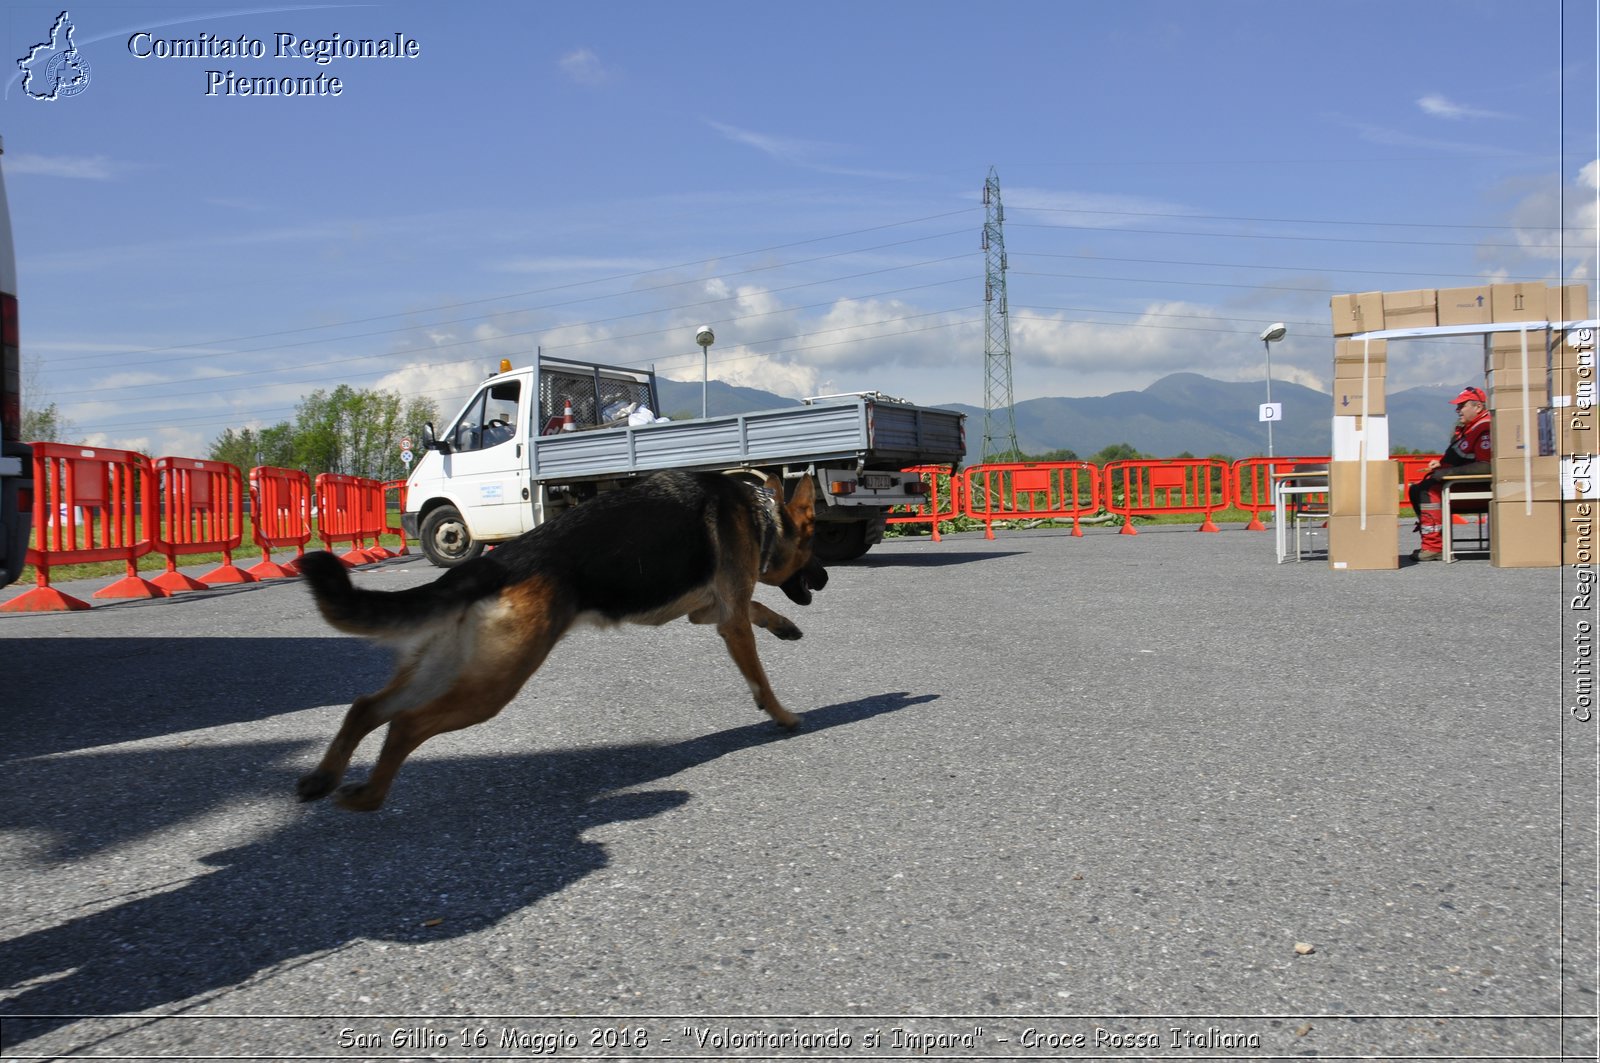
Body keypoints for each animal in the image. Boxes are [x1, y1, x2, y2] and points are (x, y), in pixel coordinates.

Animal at [294, 470, 832, 810]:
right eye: (814, 546)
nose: (826, 578)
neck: (762, 514)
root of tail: (490, 564)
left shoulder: (711, 611)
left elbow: (758, 610)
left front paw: (784, 626)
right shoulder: (729, 620)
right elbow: (760, 676)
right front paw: (782, 715)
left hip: (451, 669)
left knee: (367, 707)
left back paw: (325, 777)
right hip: (491, 686)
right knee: (405, 724)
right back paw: (368, 797)